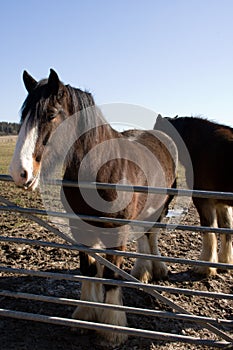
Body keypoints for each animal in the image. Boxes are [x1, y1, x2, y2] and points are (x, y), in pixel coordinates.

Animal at [9, 69, 177, 346]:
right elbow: (88, 270)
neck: (102, 168)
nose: (19, 172)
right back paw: (142, 272)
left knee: (151, 234)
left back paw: (156, 269)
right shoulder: (81, 229)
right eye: (23, 116)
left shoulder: (116, 232)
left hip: (162, 205)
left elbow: (110, 276)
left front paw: (111, 329)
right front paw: (86, 315)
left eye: (51, 115)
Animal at [155, 115, 233, 276]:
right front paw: (224, 262)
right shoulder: (222, 203)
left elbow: (209, 230)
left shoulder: (204, 200)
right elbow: (226, 229)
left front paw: (205, 267)